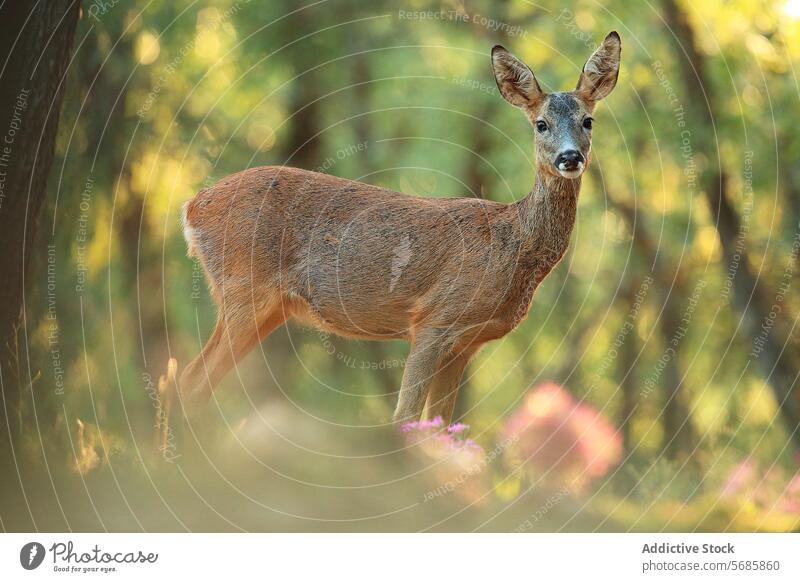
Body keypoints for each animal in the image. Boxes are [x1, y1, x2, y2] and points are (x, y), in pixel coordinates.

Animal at [178, 32, 620, 424]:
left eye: (588, 120)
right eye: (541, 124)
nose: (570, 158)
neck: (514, 244)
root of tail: (192, 207)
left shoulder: (466, 345)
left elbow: (443, 428)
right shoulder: (433, 319)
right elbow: (405, 418)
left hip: (266, 306)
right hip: (244, 287)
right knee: (190, 379)